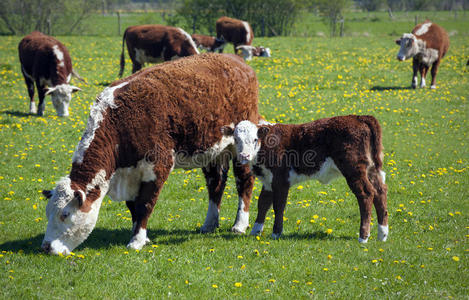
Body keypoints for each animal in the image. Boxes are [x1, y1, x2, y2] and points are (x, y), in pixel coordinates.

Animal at [40, 52, 260, 254]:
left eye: (65, 214)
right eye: (47, 213)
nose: (46, 247)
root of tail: (236, 60)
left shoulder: (158, 165)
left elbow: (145, 205)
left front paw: (136, 241)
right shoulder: (130, 173)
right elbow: (133, 207)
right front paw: (141, 236)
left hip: (241, 146)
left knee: (244, 181)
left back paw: (240, 224)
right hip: (212, 149)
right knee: (216, 183)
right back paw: (209, 224)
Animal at [223, 115, 388, 244]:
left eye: (255, 139)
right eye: (236, 139)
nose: (244, 155)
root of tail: (359, 117)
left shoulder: (281, 180)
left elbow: (278, 206)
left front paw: (276, 233)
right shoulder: (268, 180)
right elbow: (263, 203)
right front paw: (256, 230)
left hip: (354, 169)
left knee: (366, 194)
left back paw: (363, 237)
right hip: (372, 169)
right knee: (380, 192)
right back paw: (382, 234)